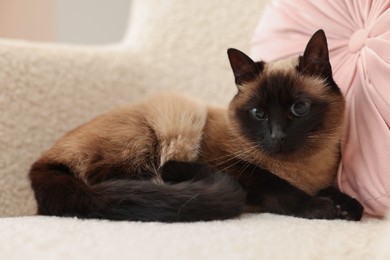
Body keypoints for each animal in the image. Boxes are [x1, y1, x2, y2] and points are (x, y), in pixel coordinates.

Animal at [29, 30, 362, 221]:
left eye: (298, 108)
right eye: (259, 113)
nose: (277, 136)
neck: (302, 170)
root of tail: (42, 160)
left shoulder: (320, 180)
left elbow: (340, 195)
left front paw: (349, 207)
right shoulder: (238, 169)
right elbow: (279, 189)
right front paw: (323, 208)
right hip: (175, 119)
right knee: (109, 182)